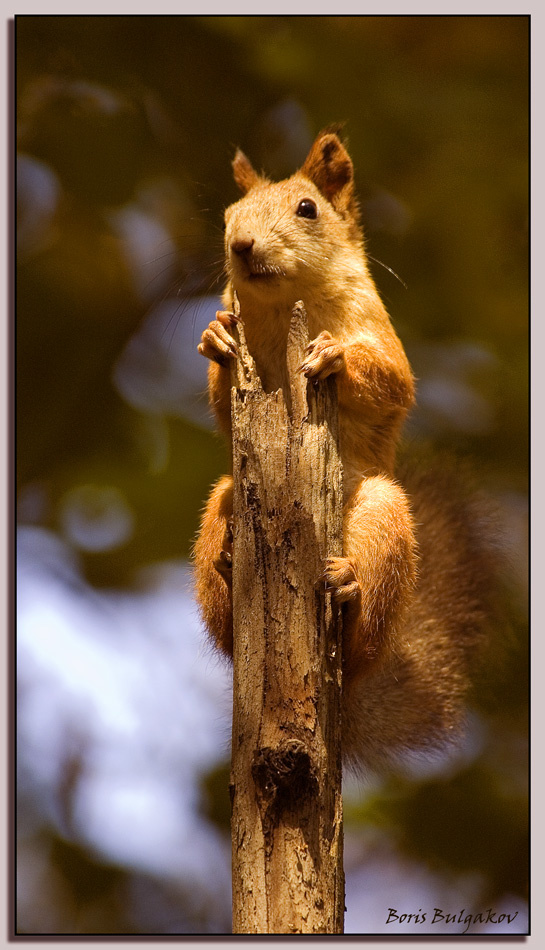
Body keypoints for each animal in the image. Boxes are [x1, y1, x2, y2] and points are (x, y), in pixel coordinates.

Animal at [193, 130, 495, 773]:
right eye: (228, 216)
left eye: (308, 209)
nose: (240, 245)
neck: (283, 308)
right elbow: (223, 407)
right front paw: (215, 336)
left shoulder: (379, 333)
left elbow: (390, 381)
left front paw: (334, 356)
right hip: (222, 504)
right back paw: (228, 564)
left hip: (383, 516)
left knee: (361, 632)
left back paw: (350, 589)